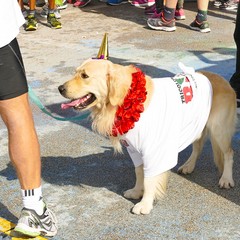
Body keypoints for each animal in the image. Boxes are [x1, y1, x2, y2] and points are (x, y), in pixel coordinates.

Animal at [58, 59, 236, 215]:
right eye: (75, 73)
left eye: (85, 76)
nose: (60, 88)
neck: (126, 100)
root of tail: (223, 81)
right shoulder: (135, 150)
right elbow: (139, 172)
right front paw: (137, 191)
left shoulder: (154, 150)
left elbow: (150, 179)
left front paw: (145, 204)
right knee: (197, 147)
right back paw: (188, 166)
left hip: (219, 129)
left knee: (228, 153)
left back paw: (226, 178)